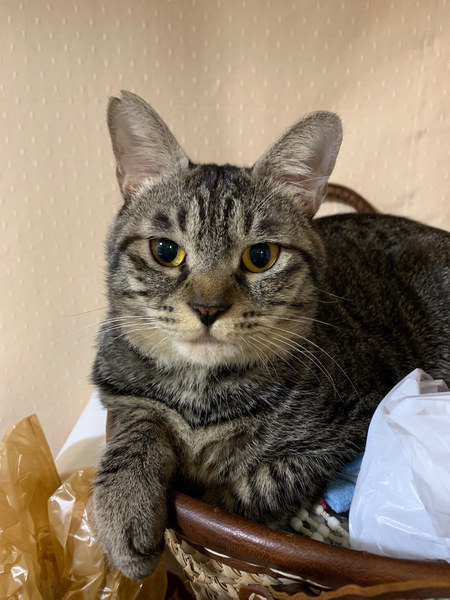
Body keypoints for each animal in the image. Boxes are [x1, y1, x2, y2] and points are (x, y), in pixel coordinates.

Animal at [91, 91, 450, 580]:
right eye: (166, 251)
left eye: (260, 256)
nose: (207, 308)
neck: (203, 397)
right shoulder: (121, 392)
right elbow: (137, 429)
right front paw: (123, 507)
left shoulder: (355, 421)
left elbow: (263, 485)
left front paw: (217, 505)